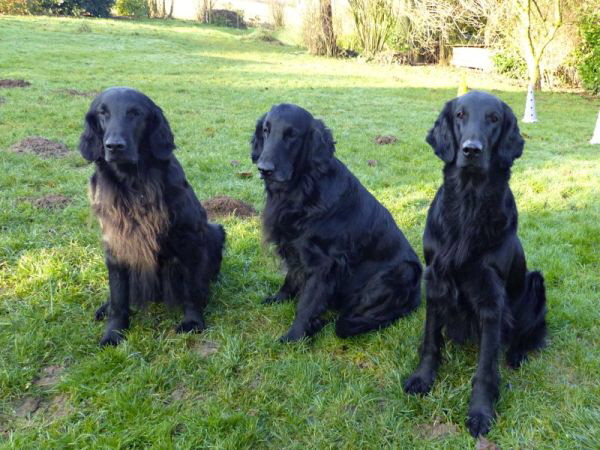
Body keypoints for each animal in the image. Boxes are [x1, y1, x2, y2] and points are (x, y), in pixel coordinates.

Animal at [79, 88, 225, 346]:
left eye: (135, 113)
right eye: (102, 113)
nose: (114, 146)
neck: (134, 183)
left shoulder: (189, 240)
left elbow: (191, 288)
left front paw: (193, 321)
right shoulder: (115, 244)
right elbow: (118, 296)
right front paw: (114, 332)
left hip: (215, 232)